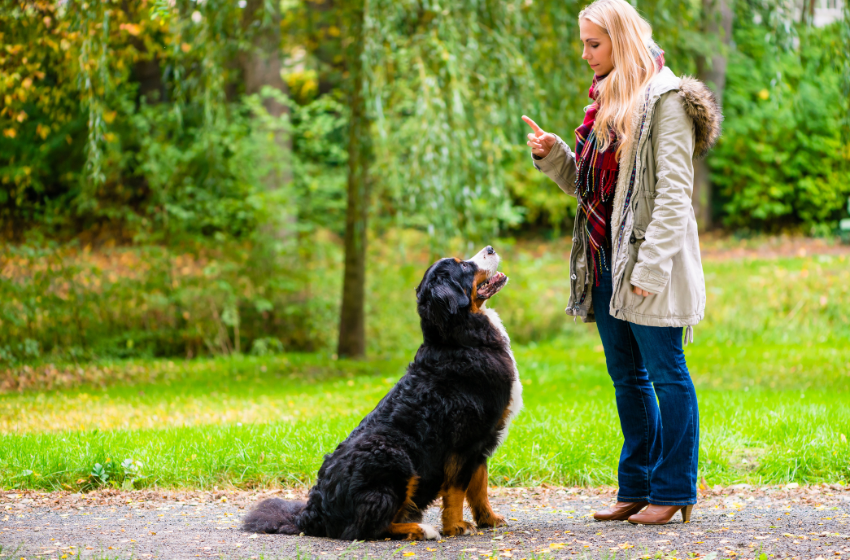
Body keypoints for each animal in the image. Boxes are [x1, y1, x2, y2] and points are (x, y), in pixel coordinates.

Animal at [242, 246, 520, 544]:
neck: (460, 340)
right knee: (366, 528)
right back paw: (421, 529)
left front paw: (489, 519)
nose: (490, 248)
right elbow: (457, 489)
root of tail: (312, 513)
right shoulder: (465, 440)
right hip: (394, 455)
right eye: (464, 266)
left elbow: (479, 487)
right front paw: (456, 526)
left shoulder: (482, 441)